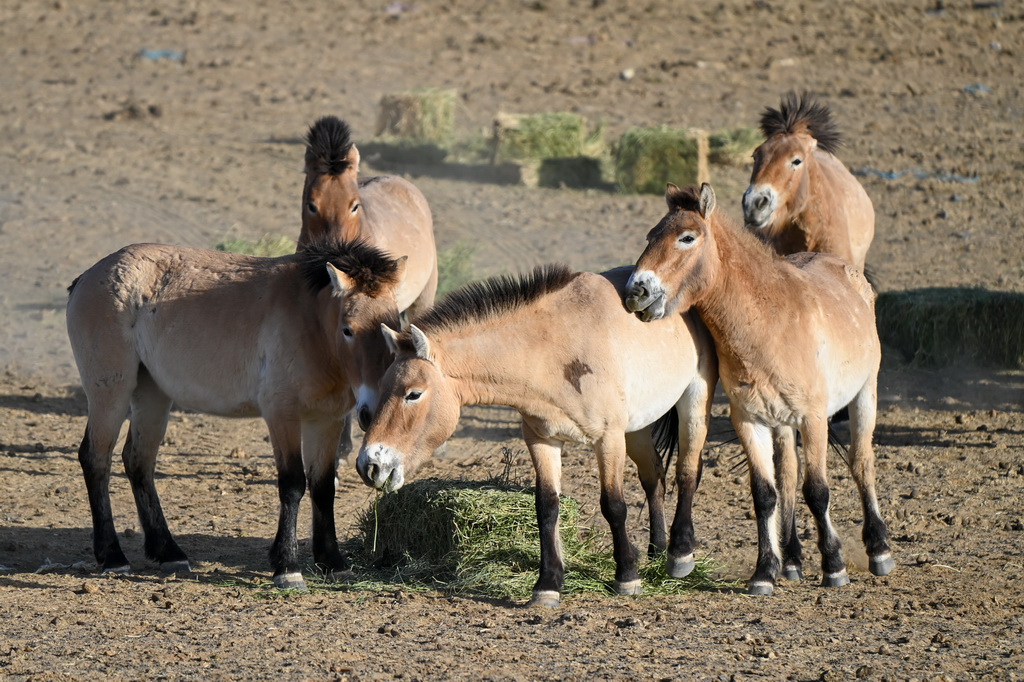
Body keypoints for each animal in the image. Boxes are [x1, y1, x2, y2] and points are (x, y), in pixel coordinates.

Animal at [66, 238, 406, 590]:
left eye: (394, 327)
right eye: (348, 330)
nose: (371, 411)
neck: (310, 321)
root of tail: (88, 277)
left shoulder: (326, 420)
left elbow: (323, 487)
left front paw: (333, 562)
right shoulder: (281, 415)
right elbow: (293, 484)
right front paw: (287, 568)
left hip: (152, 396)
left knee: (138, 461)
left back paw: (168, 552)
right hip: (111, 393)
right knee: (96, 459)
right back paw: (112, 556)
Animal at [356, 265, 718, 607]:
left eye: (413, 394)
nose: (369, 464)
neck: (555, 348)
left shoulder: (608, 439)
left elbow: (614, 505)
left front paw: (626, 576)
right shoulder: (542, 440)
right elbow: (546, 507)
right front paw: (548, 585)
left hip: (692, 403)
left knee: (687, 471)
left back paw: (680, 555)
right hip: (638, 427)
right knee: (654, 476)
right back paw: (657, 550)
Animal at [625, 183, 893, 596]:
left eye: (687, 238)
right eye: (650, 236)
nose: (636, 291)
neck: (770, 322)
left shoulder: (814, 418)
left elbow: (817, 490)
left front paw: (834, 566)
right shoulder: (750, 421)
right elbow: (766, 494)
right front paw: (765, 571)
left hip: (865, 392)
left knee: (861, 462)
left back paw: (878, 550)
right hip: (781, 424)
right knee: (787, 475)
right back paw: (793, 559)